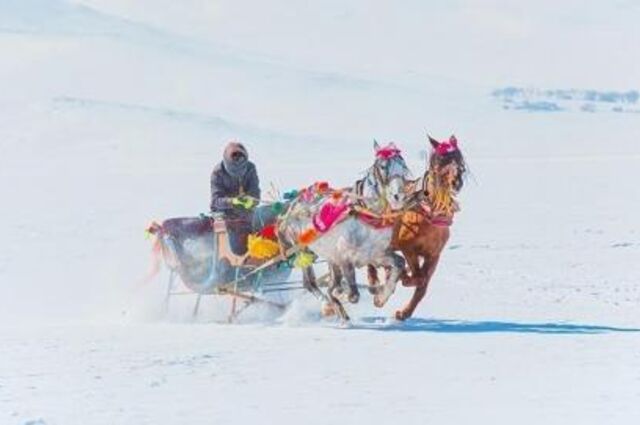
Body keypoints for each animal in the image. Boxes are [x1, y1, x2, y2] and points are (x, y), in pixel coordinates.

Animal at [368, 134, 468, 320]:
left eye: (459, 158)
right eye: (440, 160)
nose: (456, 182)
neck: (430, 215)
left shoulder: (434, 255)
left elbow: (423, 285)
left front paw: (404, 313)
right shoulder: (408, 247)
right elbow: (418, 276)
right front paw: (403, 279)